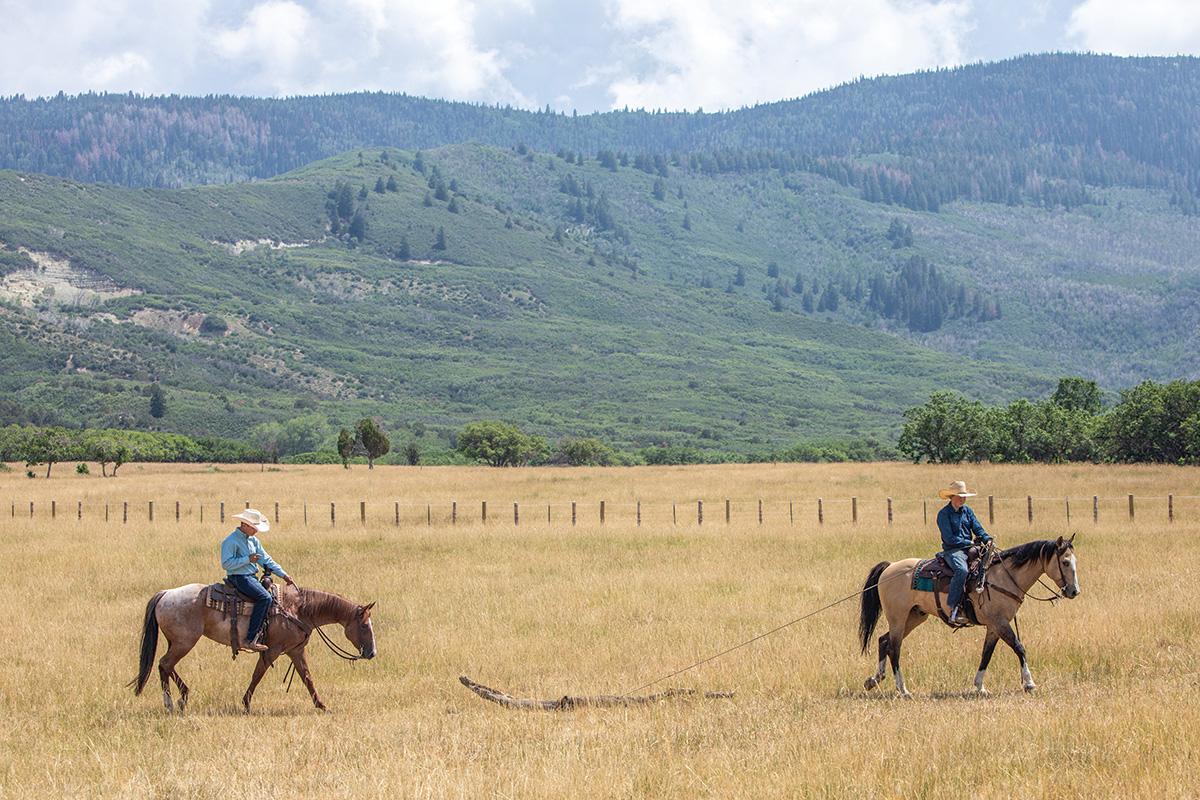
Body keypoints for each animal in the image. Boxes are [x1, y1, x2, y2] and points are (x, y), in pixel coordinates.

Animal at [130, 582, 374, 714]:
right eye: (364, 625)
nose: (372, 653)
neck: (297, 609)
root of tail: (166, 593)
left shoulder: (295, 650)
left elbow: (307, 678)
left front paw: (322, 706)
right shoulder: (272, 649)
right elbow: (258, 674)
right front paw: (246, 704)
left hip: (176, 642)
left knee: (164, 665)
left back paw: (174, 701)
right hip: (184, 642)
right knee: (165, 663)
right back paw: (177, 699)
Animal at [859, 537, 1084, 700]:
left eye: (1075, 561)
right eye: (1065, 562)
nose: (1074, 591)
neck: (1003, 577)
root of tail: (891, 567)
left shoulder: (993, 626)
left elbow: (986, 654)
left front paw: (980, 687)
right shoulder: (1000, 623)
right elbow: (1019, 648)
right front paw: (1029, 683)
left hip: (914, 616)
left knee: (883, 640)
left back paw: (874, 680)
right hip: (898, 617)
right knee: (894, 648)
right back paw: (903, 689)